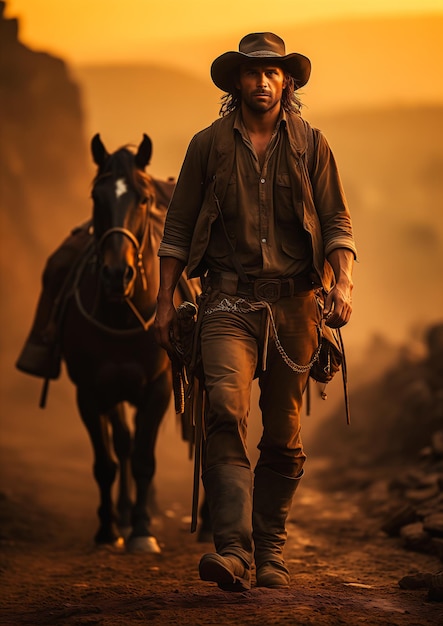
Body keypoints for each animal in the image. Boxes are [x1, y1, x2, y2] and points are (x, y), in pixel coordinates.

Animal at [59, 133, 199, 552]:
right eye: (96, 196)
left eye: (142, 198)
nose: (116, 274)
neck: (121, 314)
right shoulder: (91, 390)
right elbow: (108, 460)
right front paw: (109, 528)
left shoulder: (158, 389)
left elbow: (143, 459)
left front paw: (141, 531)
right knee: (122, 444)